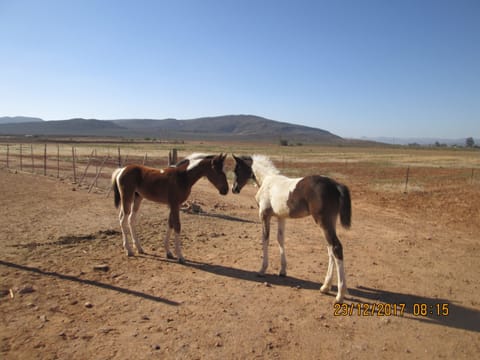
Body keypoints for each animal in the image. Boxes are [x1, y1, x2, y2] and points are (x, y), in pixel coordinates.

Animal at [233, 153, 352, 302]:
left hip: (323, 222)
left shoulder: (264, 215)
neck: (267, 180)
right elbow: (280, 239)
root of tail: (336, 185)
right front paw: (282, 271)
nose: (234, 189)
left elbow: (265, 239)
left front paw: (262, 269)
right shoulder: (281, 217)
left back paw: (340, 294)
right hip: (330, 223)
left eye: (237, 170)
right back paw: (325, 287)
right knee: (330, 249)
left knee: (336, 247)